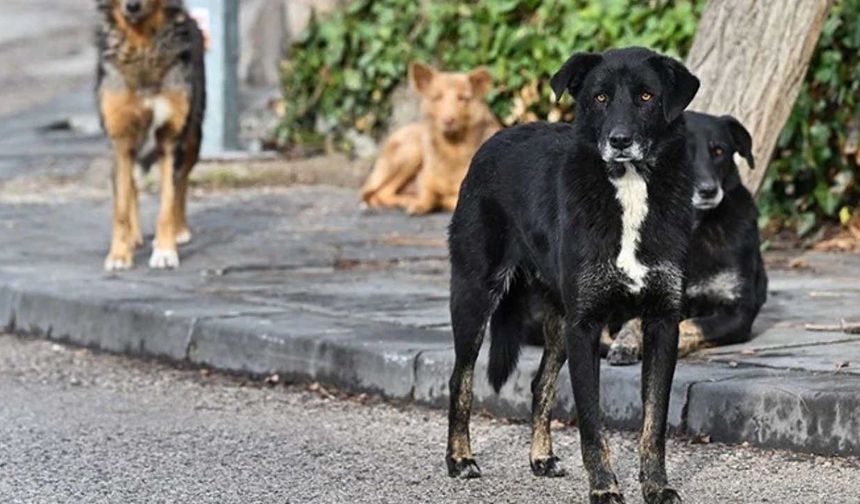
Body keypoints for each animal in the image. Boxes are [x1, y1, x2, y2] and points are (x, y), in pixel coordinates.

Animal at [360, 62, 500, 215]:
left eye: (462, 98)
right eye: (437, 97)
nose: (448, 120)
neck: (453, 149)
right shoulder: (426, 178)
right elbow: (429, 195)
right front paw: (422, 203)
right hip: (412, 151)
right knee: (380, 193)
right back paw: (406, 201)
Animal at [446, 47, 696, 504]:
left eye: (647, 96)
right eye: (599, 97)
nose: (619, 141)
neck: (629, 187)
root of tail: (495, 139)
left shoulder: (662, 322)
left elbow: (654, 424)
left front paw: (656, 486)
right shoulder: (586, 326)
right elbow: (592, 424)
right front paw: (604, 487)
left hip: (558, 318)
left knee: (539, 383)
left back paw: (540, 457)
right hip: (475, 292)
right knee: (461, 378)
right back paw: (460, 459)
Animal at [608, 112, 768, 364]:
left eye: (719, 151)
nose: (708, 191)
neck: (694, 228)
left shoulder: (738, 312)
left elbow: (691, 325)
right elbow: (632, 321)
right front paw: (625, 343)